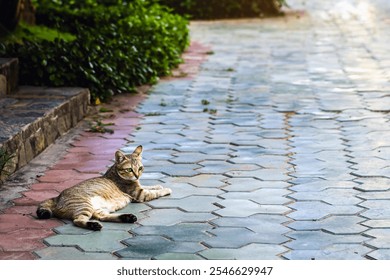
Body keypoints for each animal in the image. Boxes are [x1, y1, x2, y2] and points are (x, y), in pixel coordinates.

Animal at [35, 145, 172, 231]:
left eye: (140, 168)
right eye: (129, 169)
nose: (137, 175)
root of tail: (56, 198)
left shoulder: (140, 187)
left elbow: (150, 186)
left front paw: (158, 185)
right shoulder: (139, 193)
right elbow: (154, 192)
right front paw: (166, 189)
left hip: (98, 209)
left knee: (102, 217)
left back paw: (127, 217)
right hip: (84, 205)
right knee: (78, 220)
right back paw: (94, 225)